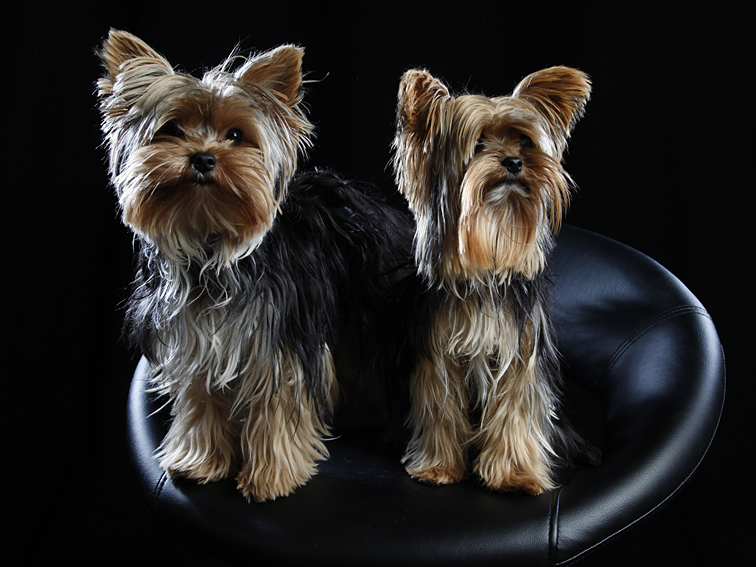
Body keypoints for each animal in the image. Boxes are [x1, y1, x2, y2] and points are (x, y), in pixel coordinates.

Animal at [99, 30, 414, 502]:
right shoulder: (195, 341)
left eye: (235, 134)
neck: (211, 247)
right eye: (171, 129)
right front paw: (200, 462)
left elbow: (276, 406)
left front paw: (270, 478)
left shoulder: (279, 342)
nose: (203, 158)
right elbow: (200, 401)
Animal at [396, 65, 596, 492]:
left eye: (524, 141)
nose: (514, 162)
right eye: (478, 145)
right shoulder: (439, 354)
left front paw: (514, 475)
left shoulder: (521, 353)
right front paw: (439, 467)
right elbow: (442, 408)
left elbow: (514, 412)